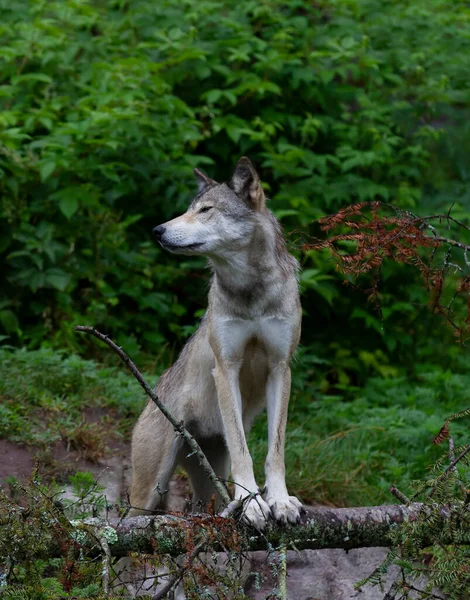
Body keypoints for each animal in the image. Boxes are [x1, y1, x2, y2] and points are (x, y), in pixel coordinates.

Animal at [129, 157, 302, 528]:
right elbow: (243, 449)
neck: (250, 291)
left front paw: (280, 501)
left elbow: (275, 451)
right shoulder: (226, 367)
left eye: (206, 210)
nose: (158, 230)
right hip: (149, 491)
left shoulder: (281, 368)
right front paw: (252, 503)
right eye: (188, 209)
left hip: (206, 478)